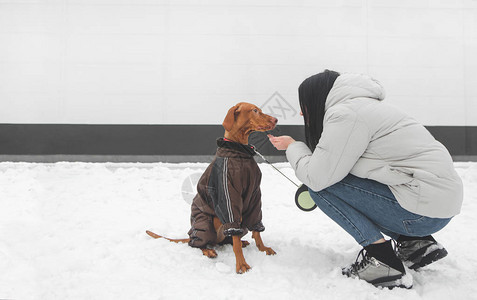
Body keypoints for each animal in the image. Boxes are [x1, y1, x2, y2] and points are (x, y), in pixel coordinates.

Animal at [147, 102, 278, 274]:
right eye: (255, 110)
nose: (276, 120)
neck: (239, 152)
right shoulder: (228, 196)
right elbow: (235, 239)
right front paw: (241, 264)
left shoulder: (255, 195)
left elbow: (256, 229)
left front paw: (263, 248)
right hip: (208, 222)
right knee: (196, 243)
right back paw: (208, 250)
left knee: (225, 240)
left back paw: (239, 242)